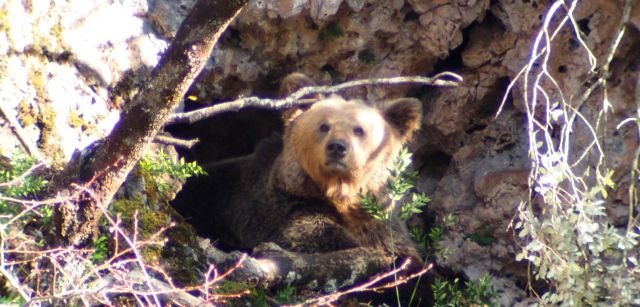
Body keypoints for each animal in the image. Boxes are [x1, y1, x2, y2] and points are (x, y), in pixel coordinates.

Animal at [174, 77, 424, 288]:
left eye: (359, 130)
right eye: (324, 126)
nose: (337, 147)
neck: (339, 195)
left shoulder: (380, 221)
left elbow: (404, 253)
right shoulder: (285, 208)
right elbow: (310, 237)